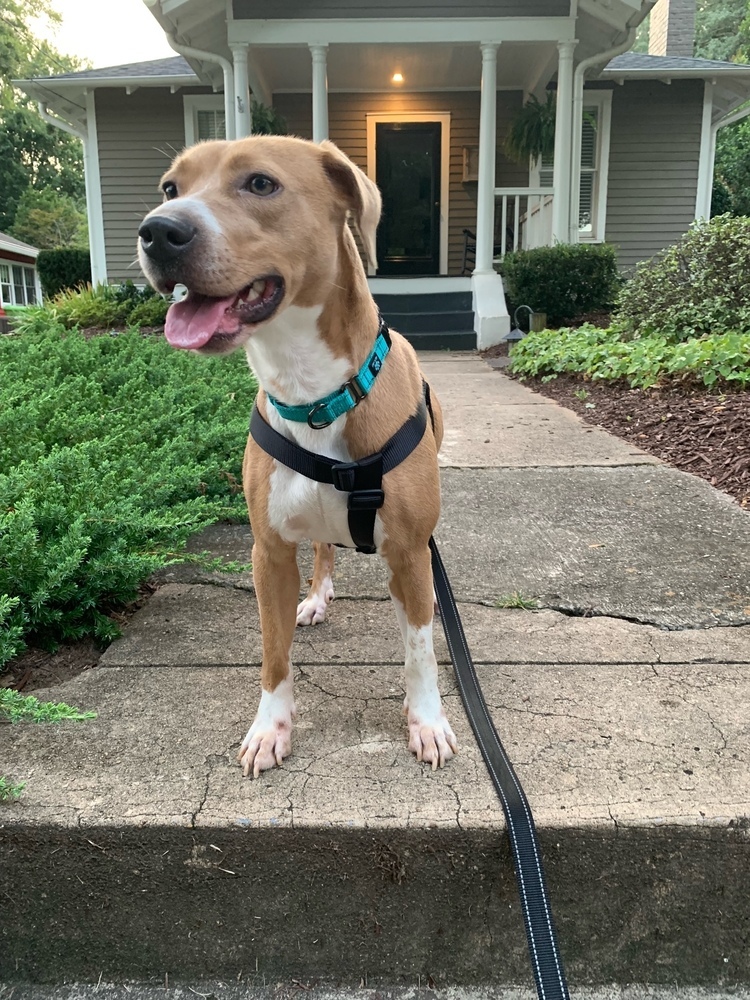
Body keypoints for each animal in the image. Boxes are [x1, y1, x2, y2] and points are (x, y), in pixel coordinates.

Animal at [139, 135, 462, 772]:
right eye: (170, 188)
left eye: (261, 184)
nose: (157, 230)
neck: (313, 393)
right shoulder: (268, 554)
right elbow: (274, 652)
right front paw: (271, 728)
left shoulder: (411, 551)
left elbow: (420, 649)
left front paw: (428, 722)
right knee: (323, 547)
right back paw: (315, 597)